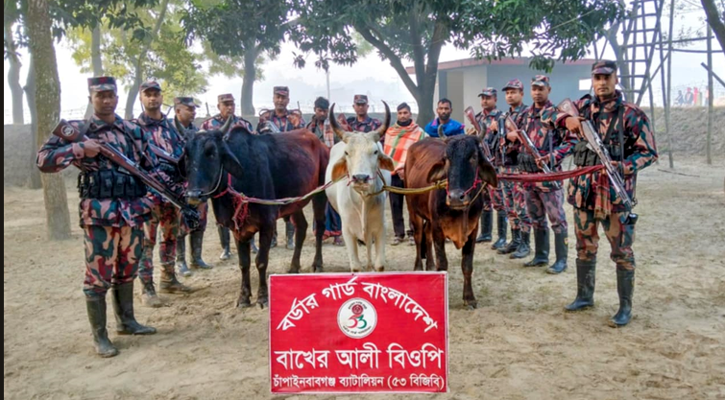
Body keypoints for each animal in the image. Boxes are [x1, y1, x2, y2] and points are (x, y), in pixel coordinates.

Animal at [326, 102, 394, 272]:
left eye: (375, 151)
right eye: (347, 152)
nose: (361, 178)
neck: (362, 200)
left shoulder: (380, 227)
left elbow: (379, 265)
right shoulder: (347, 231)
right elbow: (356, 267)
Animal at [402, 135, 498, 310]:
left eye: (474, 156)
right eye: (446, 158)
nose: (455, 197)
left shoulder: (473, 230)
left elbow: (467, 265)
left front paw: (469, 298)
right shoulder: (438, 228)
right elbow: (443, 264)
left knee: (426, 236)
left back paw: (430, 266)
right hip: (412, 208)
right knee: (419, 237)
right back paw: (418, 267)